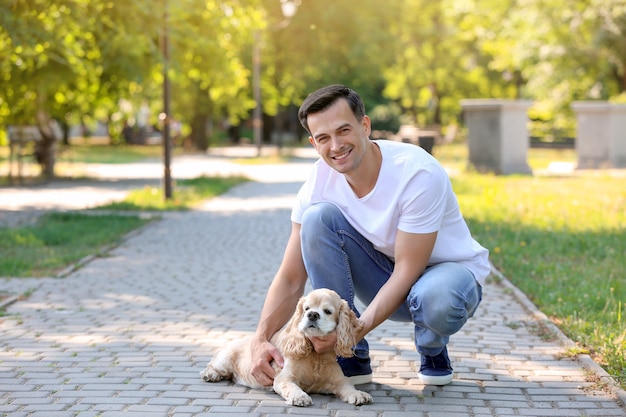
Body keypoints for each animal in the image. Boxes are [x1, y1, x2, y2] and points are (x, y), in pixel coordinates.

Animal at [201, 288, 370, 404]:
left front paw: (359, 395)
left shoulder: (339, 380)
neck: (316, 357)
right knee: (212, 365)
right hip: (224, 359)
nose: (312, 315)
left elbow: (348, 388)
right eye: (306, 309)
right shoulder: (284, 378)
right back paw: (210, 374)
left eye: (328, 311)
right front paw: (299, 396)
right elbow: (292, 387)